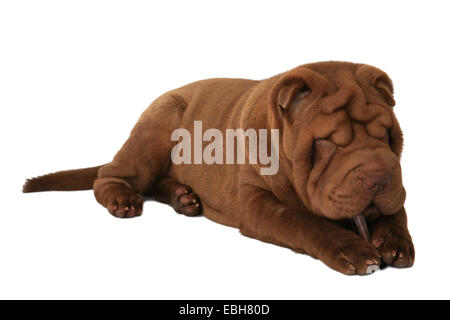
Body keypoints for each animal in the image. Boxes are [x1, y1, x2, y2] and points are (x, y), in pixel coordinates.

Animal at [22, 62, 414, 276]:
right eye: (329, 142)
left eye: (387, 134)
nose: (379, 177)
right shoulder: (257, 202)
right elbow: (303, 221)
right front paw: (351, 250)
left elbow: (398, 212)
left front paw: (394, 240)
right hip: (157, 128)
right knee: (110, 176)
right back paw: (124, 199)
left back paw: (183, 198)